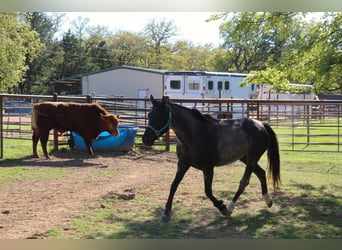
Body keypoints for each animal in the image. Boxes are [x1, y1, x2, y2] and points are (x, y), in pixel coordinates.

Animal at [142, 95, 280, 223]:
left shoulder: (208, 168)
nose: (145, 140)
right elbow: (174, 185)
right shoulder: (183, 164)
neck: (195, 134)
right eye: (149, 114)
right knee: (261, 173)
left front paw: (222, 208)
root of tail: (261, 124)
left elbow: (207, 191)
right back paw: (268, 201)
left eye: (160, 116)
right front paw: (166, 213)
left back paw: (230, 207)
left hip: (252, 158)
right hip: (245, 158)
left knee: (244, 181)